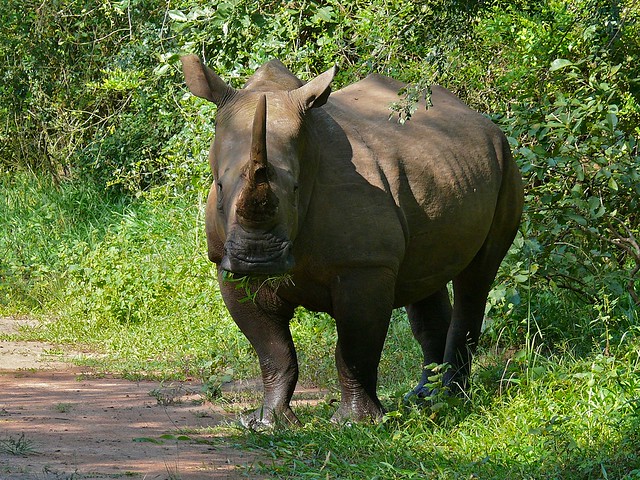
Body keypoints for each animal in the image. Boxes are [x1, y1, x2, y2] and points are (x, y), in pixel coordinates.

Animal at [181, 55, 523, 427]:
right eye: (219, 187)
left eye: (296, 190)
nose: (257, 258)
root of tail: (481, 119)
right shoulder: (227, 265)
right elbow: (273, 351)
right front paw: (267, 422)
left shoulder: (366, 265)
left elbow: (355, 348)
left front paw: (354, 423)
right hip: (443, 166)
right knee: (425, 276)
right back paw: (424, 398)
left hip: (507, 162)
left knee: (477, 276)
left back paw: (451, 398)